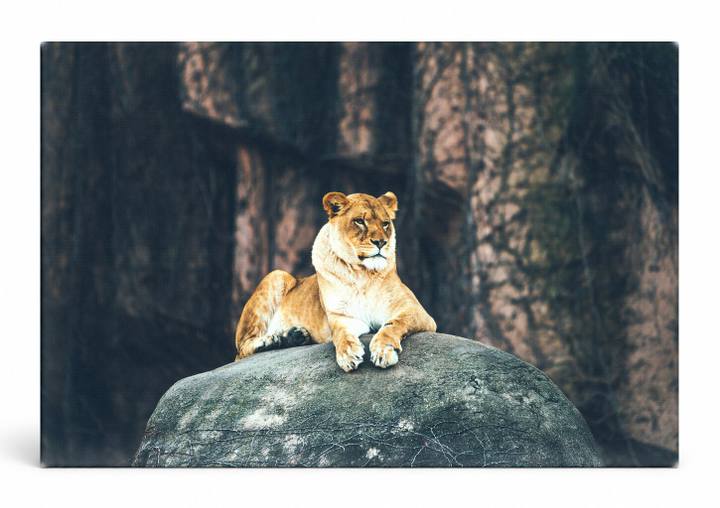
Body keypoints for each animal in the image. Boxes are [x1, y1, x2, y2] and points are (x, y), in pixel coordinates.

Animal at [234, 191, 437, 372]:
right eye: (360, 221)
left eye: (386, 224)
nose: (381, 242)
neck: (363, 274)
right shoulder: (341, 316)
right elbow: (341, 334)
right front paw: (348, 354)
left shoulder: (417, 312)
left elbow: (393, 325)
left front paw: (383, 350)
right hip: (276, 275)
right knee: (243, 348)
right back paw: (283, 338)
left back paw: (294, 336)